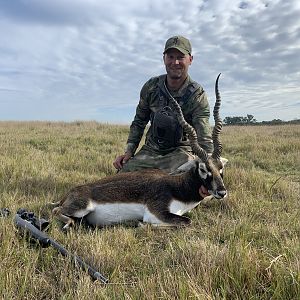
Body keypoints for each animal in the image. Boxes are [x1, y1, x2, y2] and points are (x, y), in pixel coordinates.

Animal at [52, 74, 227, 229]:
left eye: (221, 168)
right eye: (203, 168)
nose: (222, 192)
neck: (178, 188)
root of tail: (69, 193)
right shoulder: (156, 213)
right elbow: (184, 222)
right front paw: (140, 224)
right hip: (82, 207)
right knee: (55, 210)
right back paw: (69, 223)